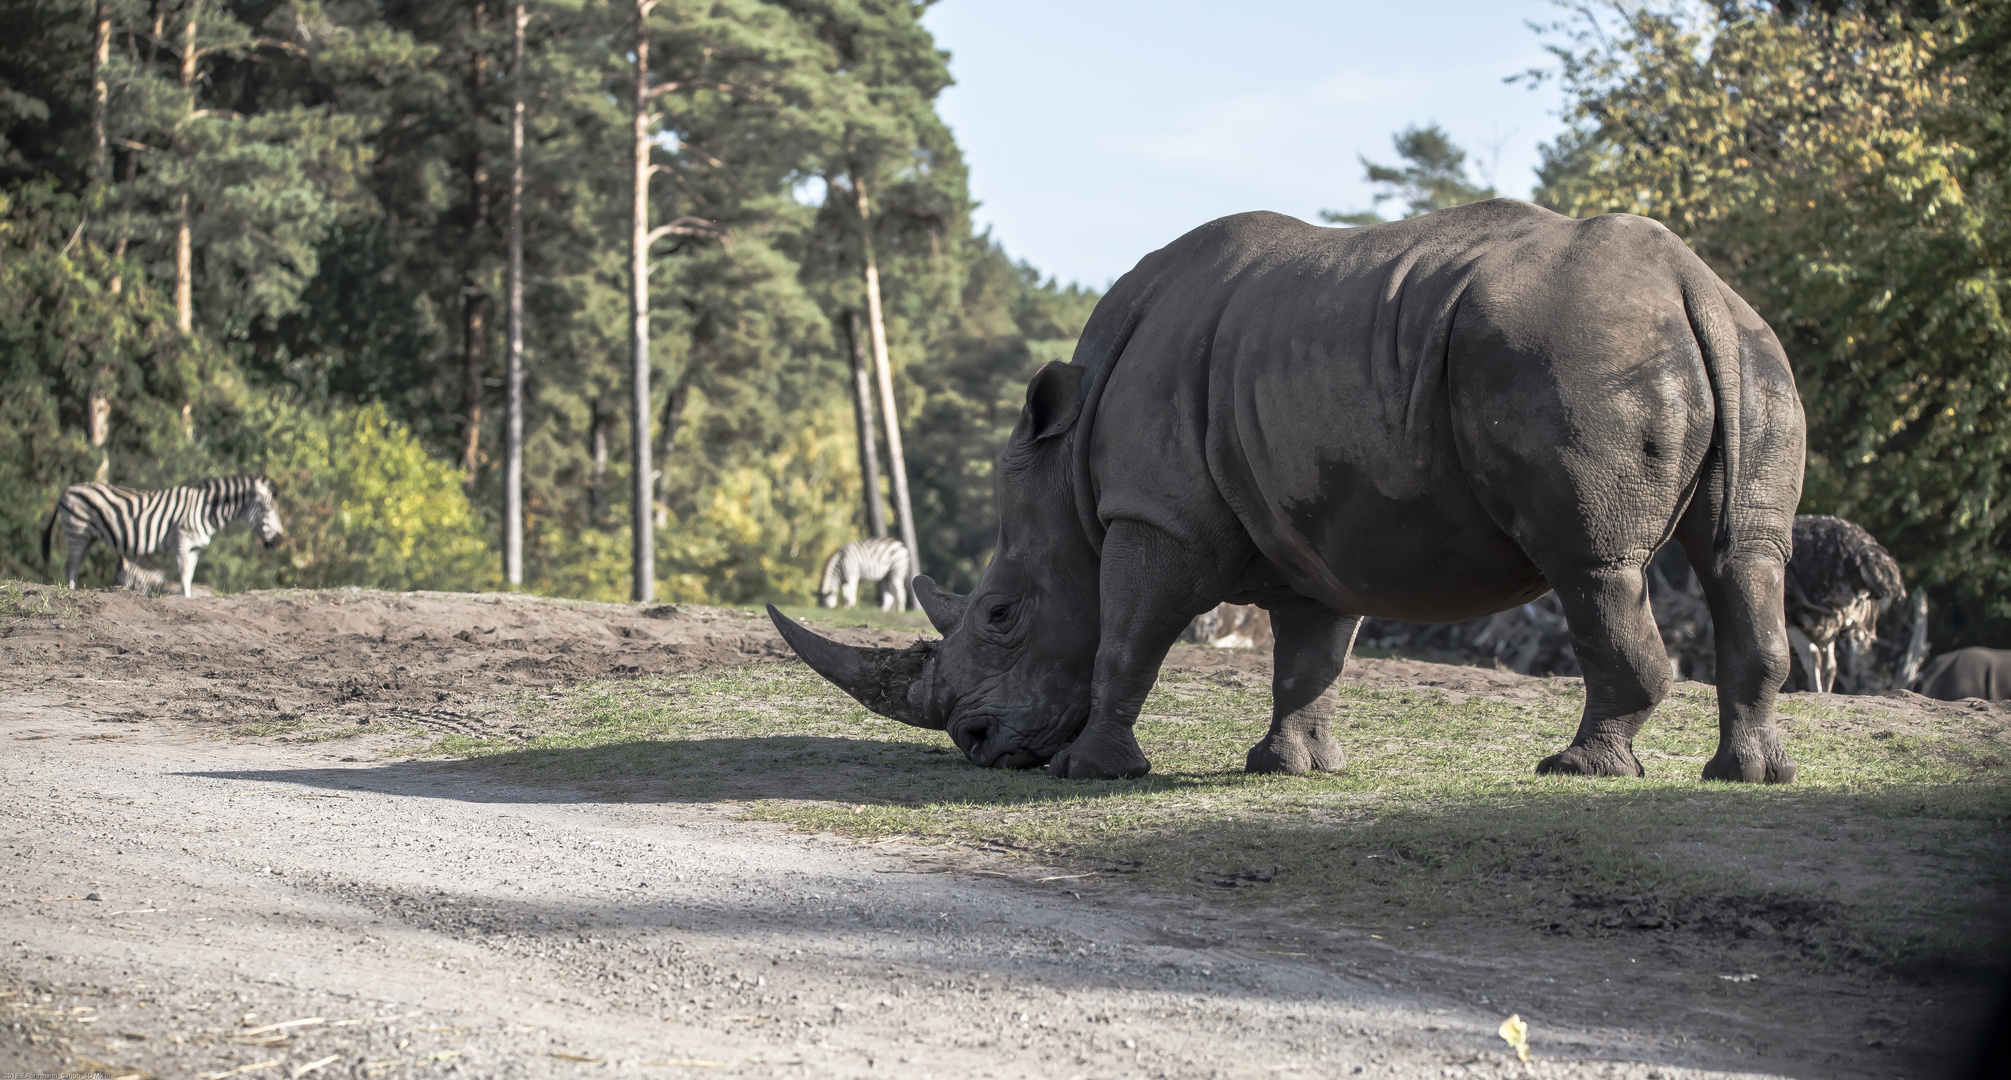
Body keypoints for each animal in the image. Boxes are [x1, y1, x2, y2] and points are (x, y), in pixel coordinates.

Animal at [42, 476, 287, 599]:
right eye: (267, 509)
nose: (279, 541)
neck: (204, 510)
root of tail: (66, 491)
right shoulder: (182, 539)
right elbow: (184, 574)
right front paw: (185, 597)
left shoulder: (194, 547)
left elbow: (188, 575)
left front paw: (187, 597)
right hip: (78, 530)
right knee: (71, 565)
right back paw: (71, 590)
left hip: (88, 536)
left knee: (74, 564)